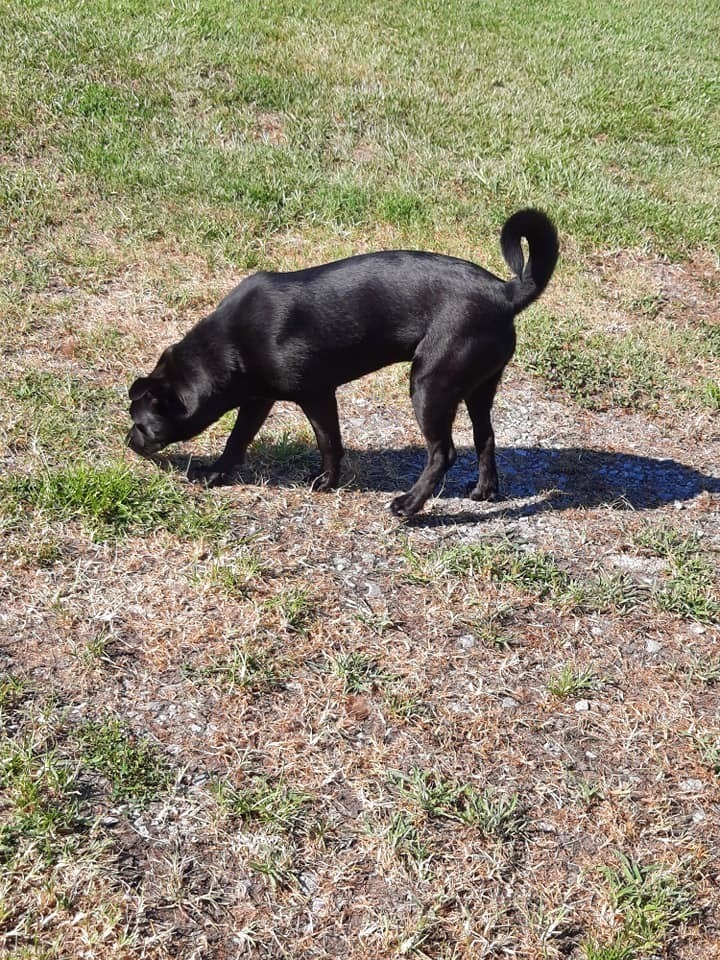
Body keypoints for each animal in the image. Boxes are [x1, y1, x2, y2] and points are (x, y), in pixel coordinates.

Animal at [128, 206, 556, 512]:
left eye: (142, 423)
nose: (129, 442)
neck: (229, 344)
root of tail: (504, 293)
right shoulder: (257, 400)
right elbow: (237, 440)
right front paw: (216, 474)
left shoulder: (317, 394)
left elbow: (328, 442)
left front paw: (326, 483)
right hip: (478, 385)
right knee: (486, 436)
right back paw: (484, 491)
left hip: (430, 383)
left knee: (443, 452)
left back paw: (409, 506)